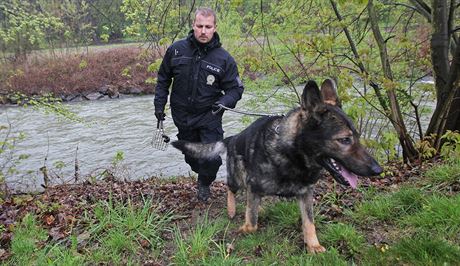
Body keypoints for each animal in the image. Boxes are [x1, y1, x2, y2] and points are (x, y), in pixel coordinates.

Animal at [171, 79, 382, 254]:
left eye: (357, 136)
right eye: (345, 140)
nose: (378, 170)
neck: (292, 155)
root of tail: (233, 138)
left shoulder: (305, 194)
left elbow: (309, 223)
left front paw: (313, 245)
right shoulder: (254, 186)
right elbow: (252, 223)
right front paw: (244, 228)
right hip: (238, 178)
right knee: (231, 188)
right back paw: (232, 209)